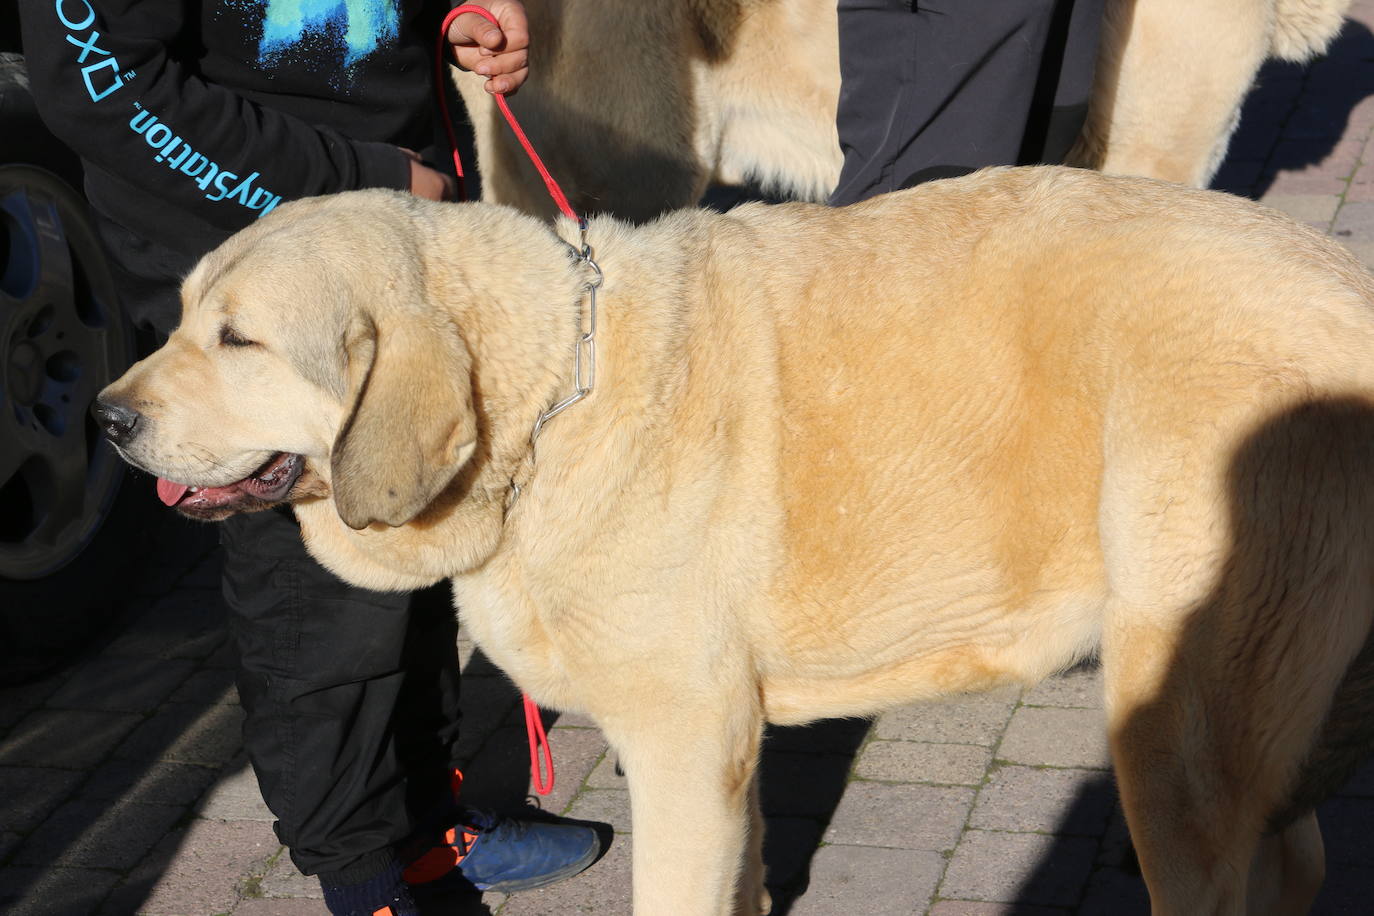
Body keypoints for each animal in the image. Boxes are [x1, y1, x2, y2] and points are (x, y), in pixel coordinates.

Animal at [101, 166, 1374, 916]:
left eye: (239, 339)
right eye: (182, 316)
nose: (105, 417)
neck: (554, 394)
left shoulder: (680, 737)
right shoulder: (724, 745)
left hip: (1178, 735)